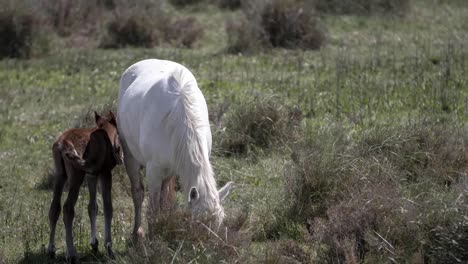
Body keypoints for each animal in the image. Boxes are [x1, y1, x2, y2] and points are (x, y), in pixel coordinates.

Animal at [47, 111, 122, 262]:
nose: (119, 154)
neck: (106, 133)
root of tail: (62, 144)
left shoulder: (91, 174)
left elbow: (92, 206)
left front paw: (94, 244)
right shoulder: (105, 173)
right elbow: (108, 207)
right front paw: (108, 247)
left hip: (60, 175)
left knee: (54, 208)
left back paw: (51, 250)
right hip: (76, 176)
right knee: (68, 209)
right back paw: (71, 254)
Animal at [118, 59, 233, 239]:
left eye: (219, 223)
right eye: (198, 224)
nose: (209, 247)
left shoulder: (170, 167)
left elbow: (163, 201)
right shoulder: (153, 170)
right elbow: (152, 208)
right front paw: (153, 237)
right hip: (130, 156)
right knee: (138, 193)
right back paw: (137, 233)